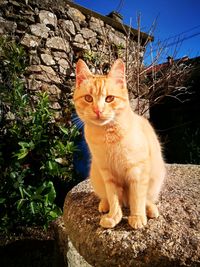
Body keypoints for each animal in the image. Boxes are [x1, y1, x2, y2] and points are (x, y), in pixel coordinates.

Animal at [73, 58, 166, 230]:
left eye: (109, 98)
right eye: (88, 98)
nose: (98, 110)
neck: (107, 135)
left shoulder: (137, 171)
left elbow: (137, 197)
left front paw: (137, 217)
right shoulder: (108, 174)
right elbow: (114, 198)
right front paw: (114, 217)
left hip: (156, 178)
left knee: (147, 198)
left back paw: (150, 209)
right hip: (96, 175)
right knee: (106, 197)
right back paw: (104, 205)